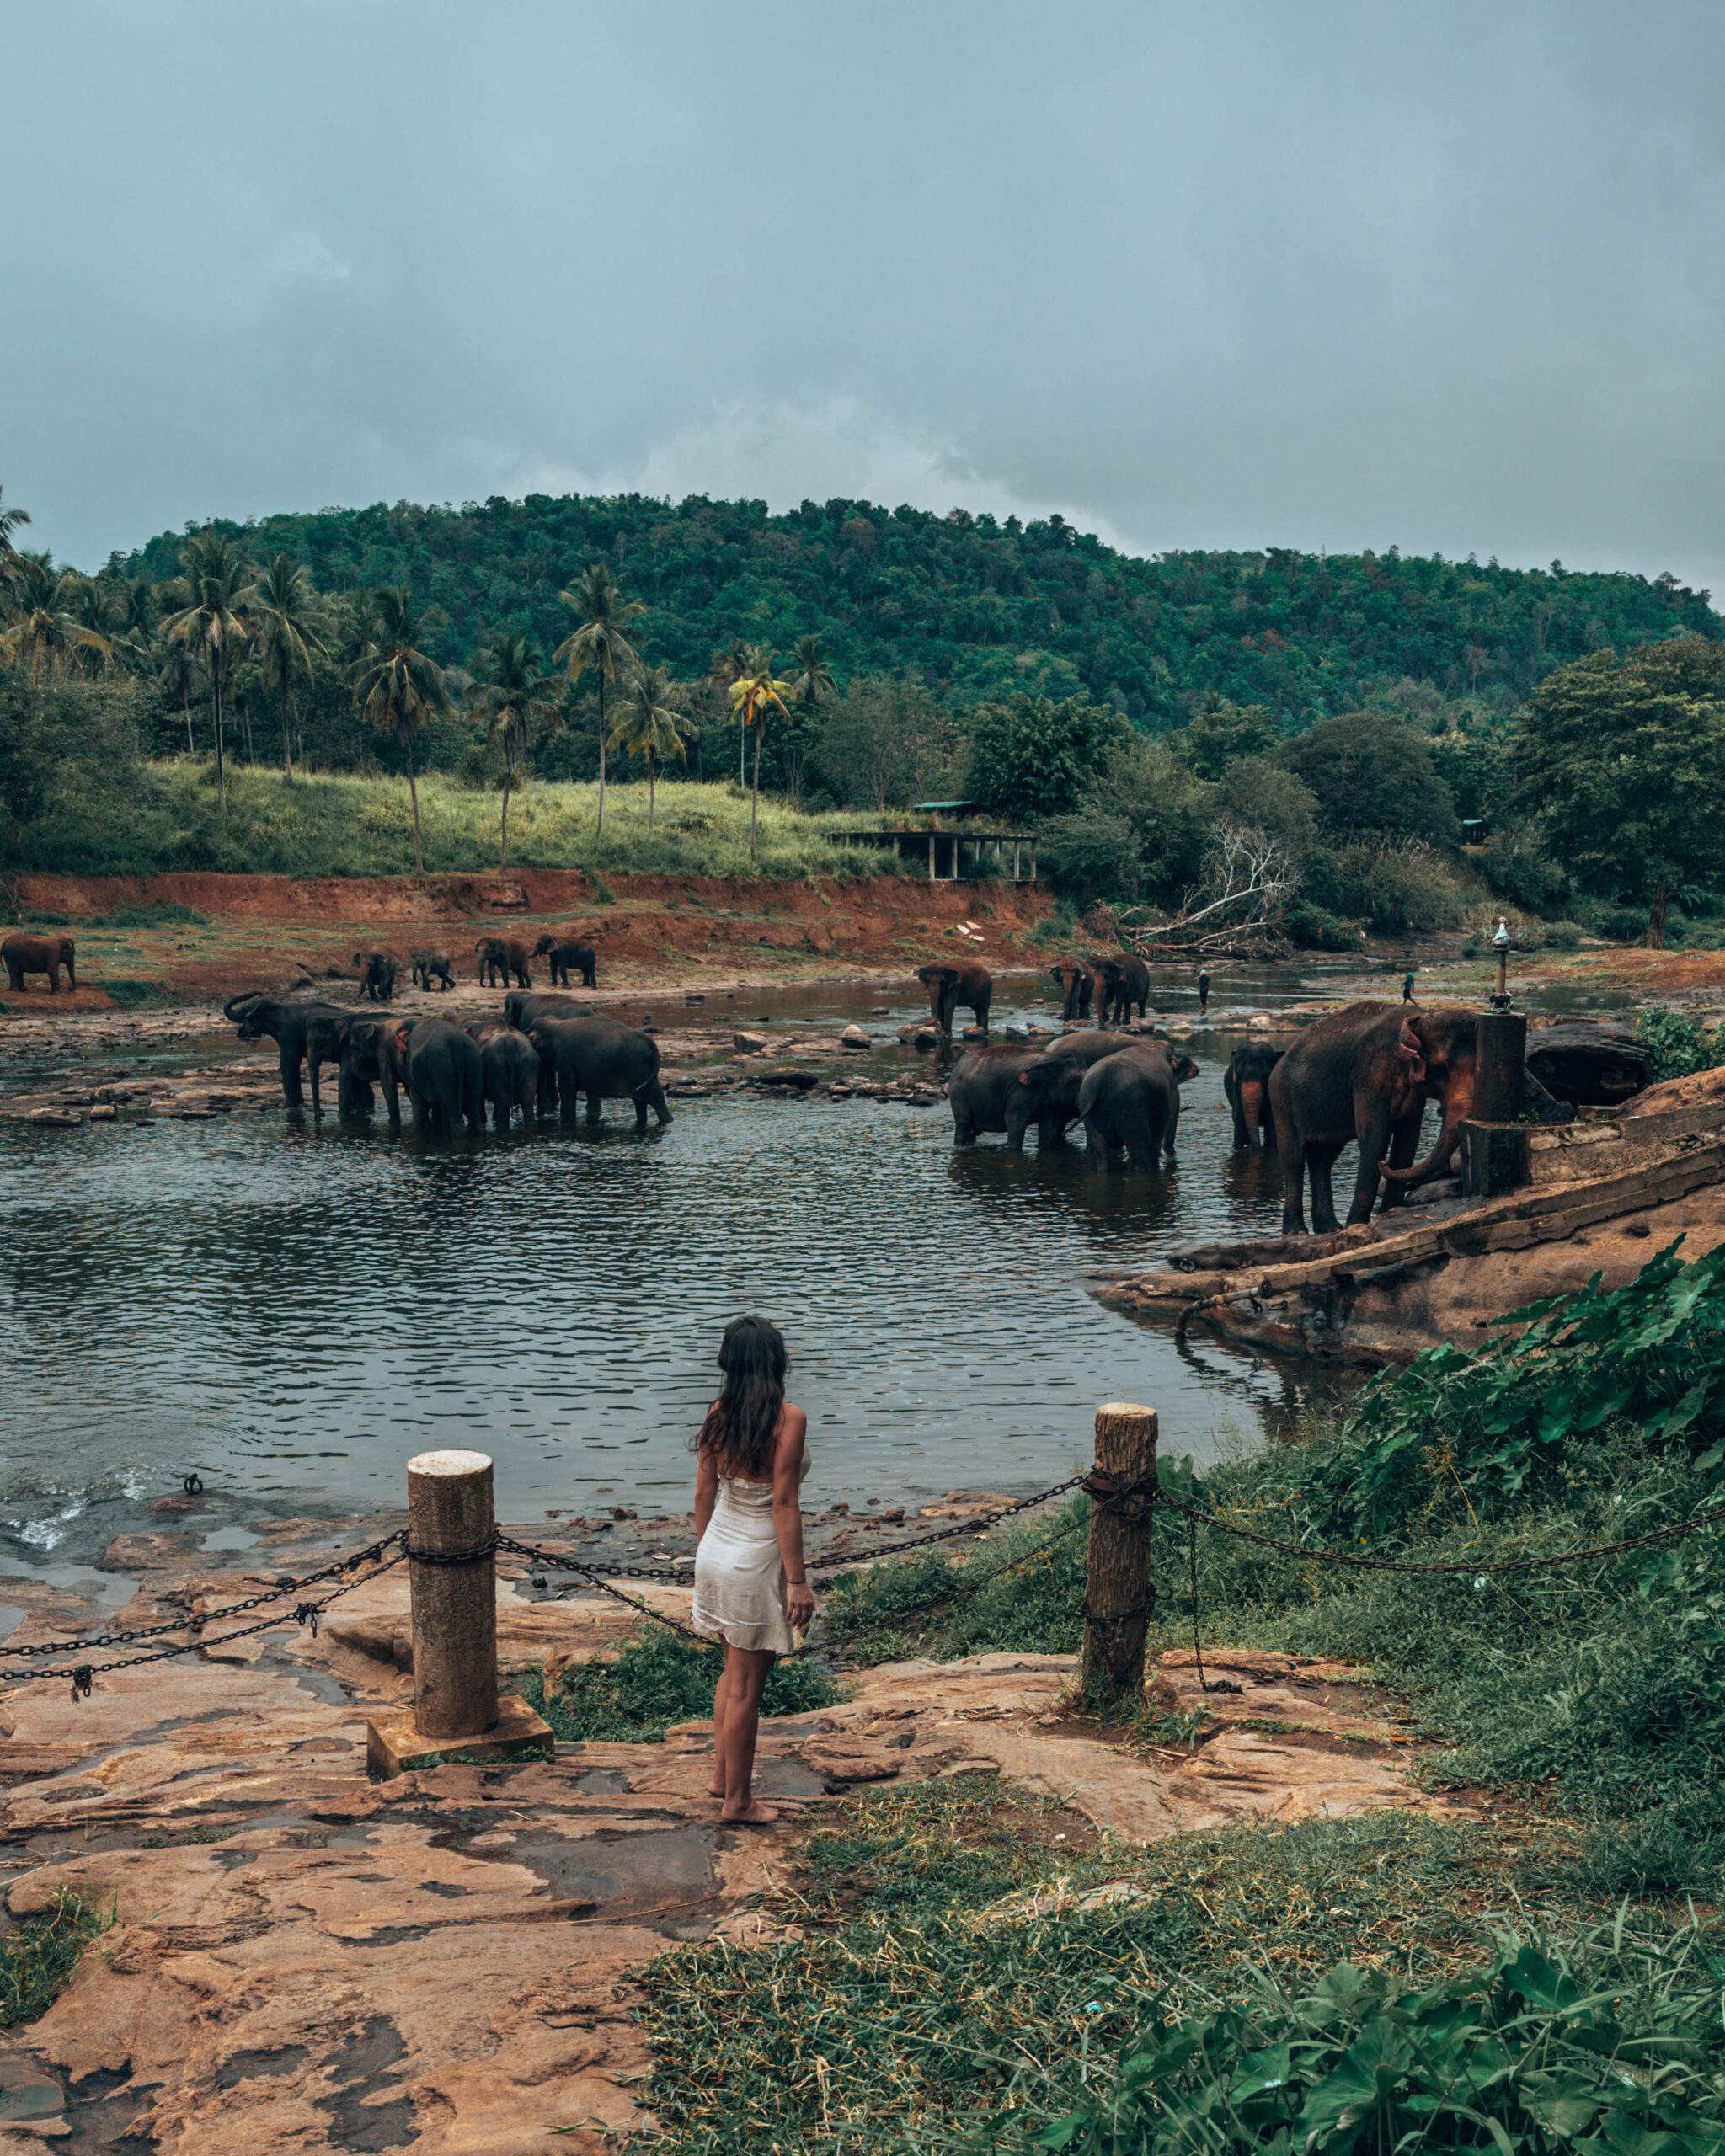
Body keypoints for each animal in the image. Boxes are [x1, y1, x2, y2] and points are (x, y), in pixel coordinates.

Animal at [1078, 1038, 1199, 1172]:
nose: (1170, 1155)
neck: (1153, 1045)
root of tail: (1102, 1082)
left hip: (1089, 1108)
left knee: (1100, 1149)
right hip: (1132, 1109)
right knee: (1140, 1147)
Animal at [1268, 991, 1483, 1233]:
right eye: (1440, 1068)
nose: (1384, 1164)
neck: (1421, 1016)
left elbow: (1407, 1141)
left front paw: (1389, 1213)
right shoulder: (1371, 1075)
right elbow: (1374, 1139)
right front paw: (1357, 1223)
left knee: (1323, 1159)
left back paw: (1331, 1228)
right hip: (1282, 1099)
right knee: (1294, 1159)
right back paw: (1298, 1231)